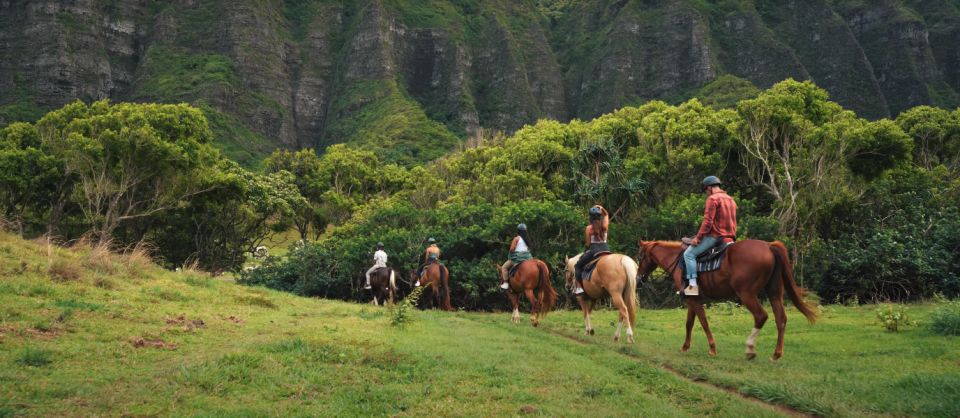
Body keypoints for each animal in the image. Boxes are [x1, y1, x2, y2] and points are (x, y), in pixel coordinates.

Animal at [636, 238, 816, 360]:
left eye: (640, 257)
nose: (638, 278)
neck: (679, 261)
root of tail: (769, 246)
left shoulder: (694, 300)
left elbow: (703, 322)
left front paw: (712, 348)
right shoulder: (692, 299)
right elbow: (689, 323)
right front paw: (685, 347)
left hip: (746, 294)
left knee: (761, 316)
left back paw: (750, 349)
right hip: (774, 292)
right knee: (781, 319)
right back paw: (776, 354)